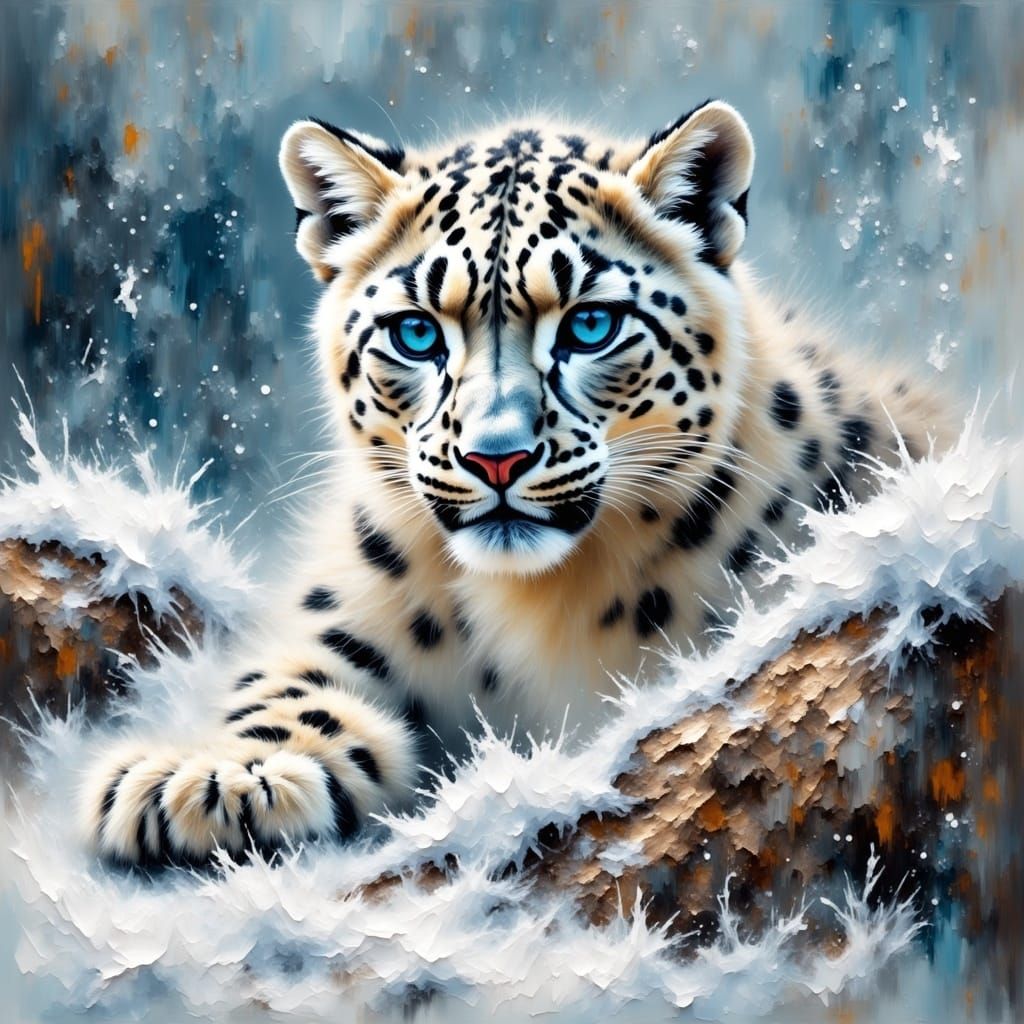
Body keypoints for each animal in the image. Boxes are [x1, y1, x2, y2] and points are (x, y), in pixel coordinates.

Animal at [83, 101, 951, 867]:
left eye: (591, 325)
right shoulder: (345, 614)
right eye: (417, 332)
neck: (539, 601)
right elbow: (284, 686)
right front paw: (213, 780)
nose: (496, 458)